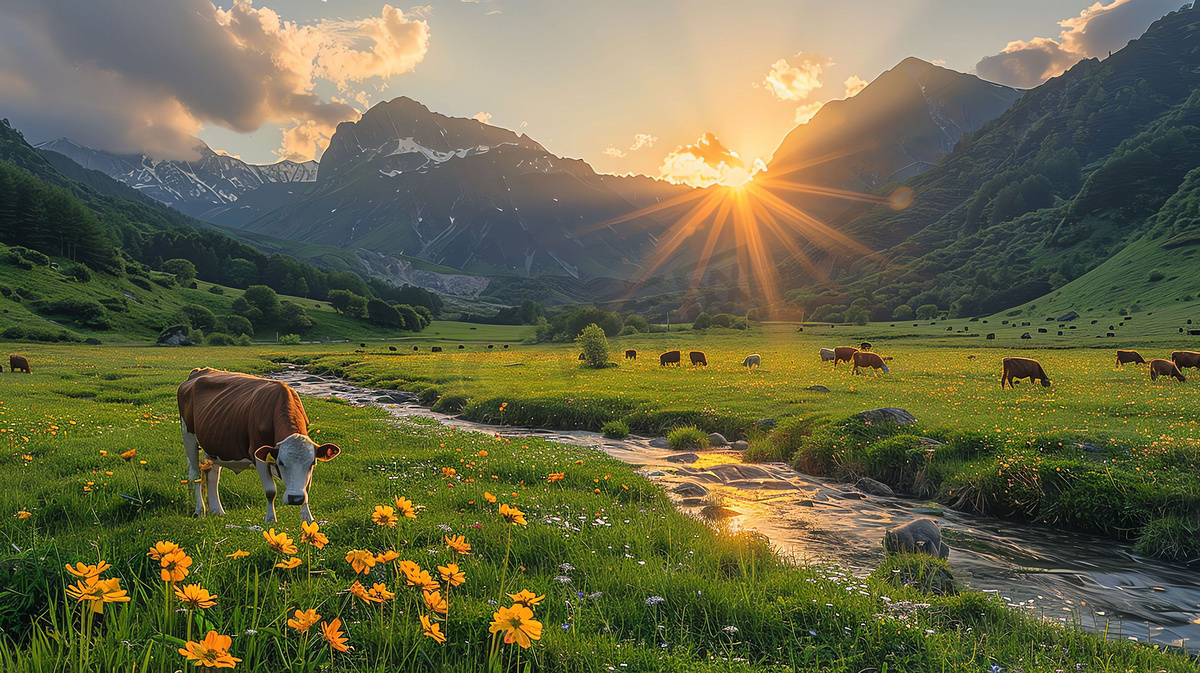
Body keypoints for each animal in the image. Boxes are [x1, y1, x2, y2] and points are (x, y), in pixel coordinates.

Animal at [175, 369, 340, 523]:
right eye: (281, 462)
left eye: (312, 463)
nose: (295, 499)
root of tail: (199, 371)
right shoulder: (258, 454)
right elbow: (270, 491)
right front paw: (271, 519)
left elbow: (307, 489)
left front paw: (308, 519)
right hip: (188, 436)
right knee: (196, 475)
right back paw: (199, 511)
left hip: (214, 444)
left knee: (213, 475)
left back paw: (217, 511)